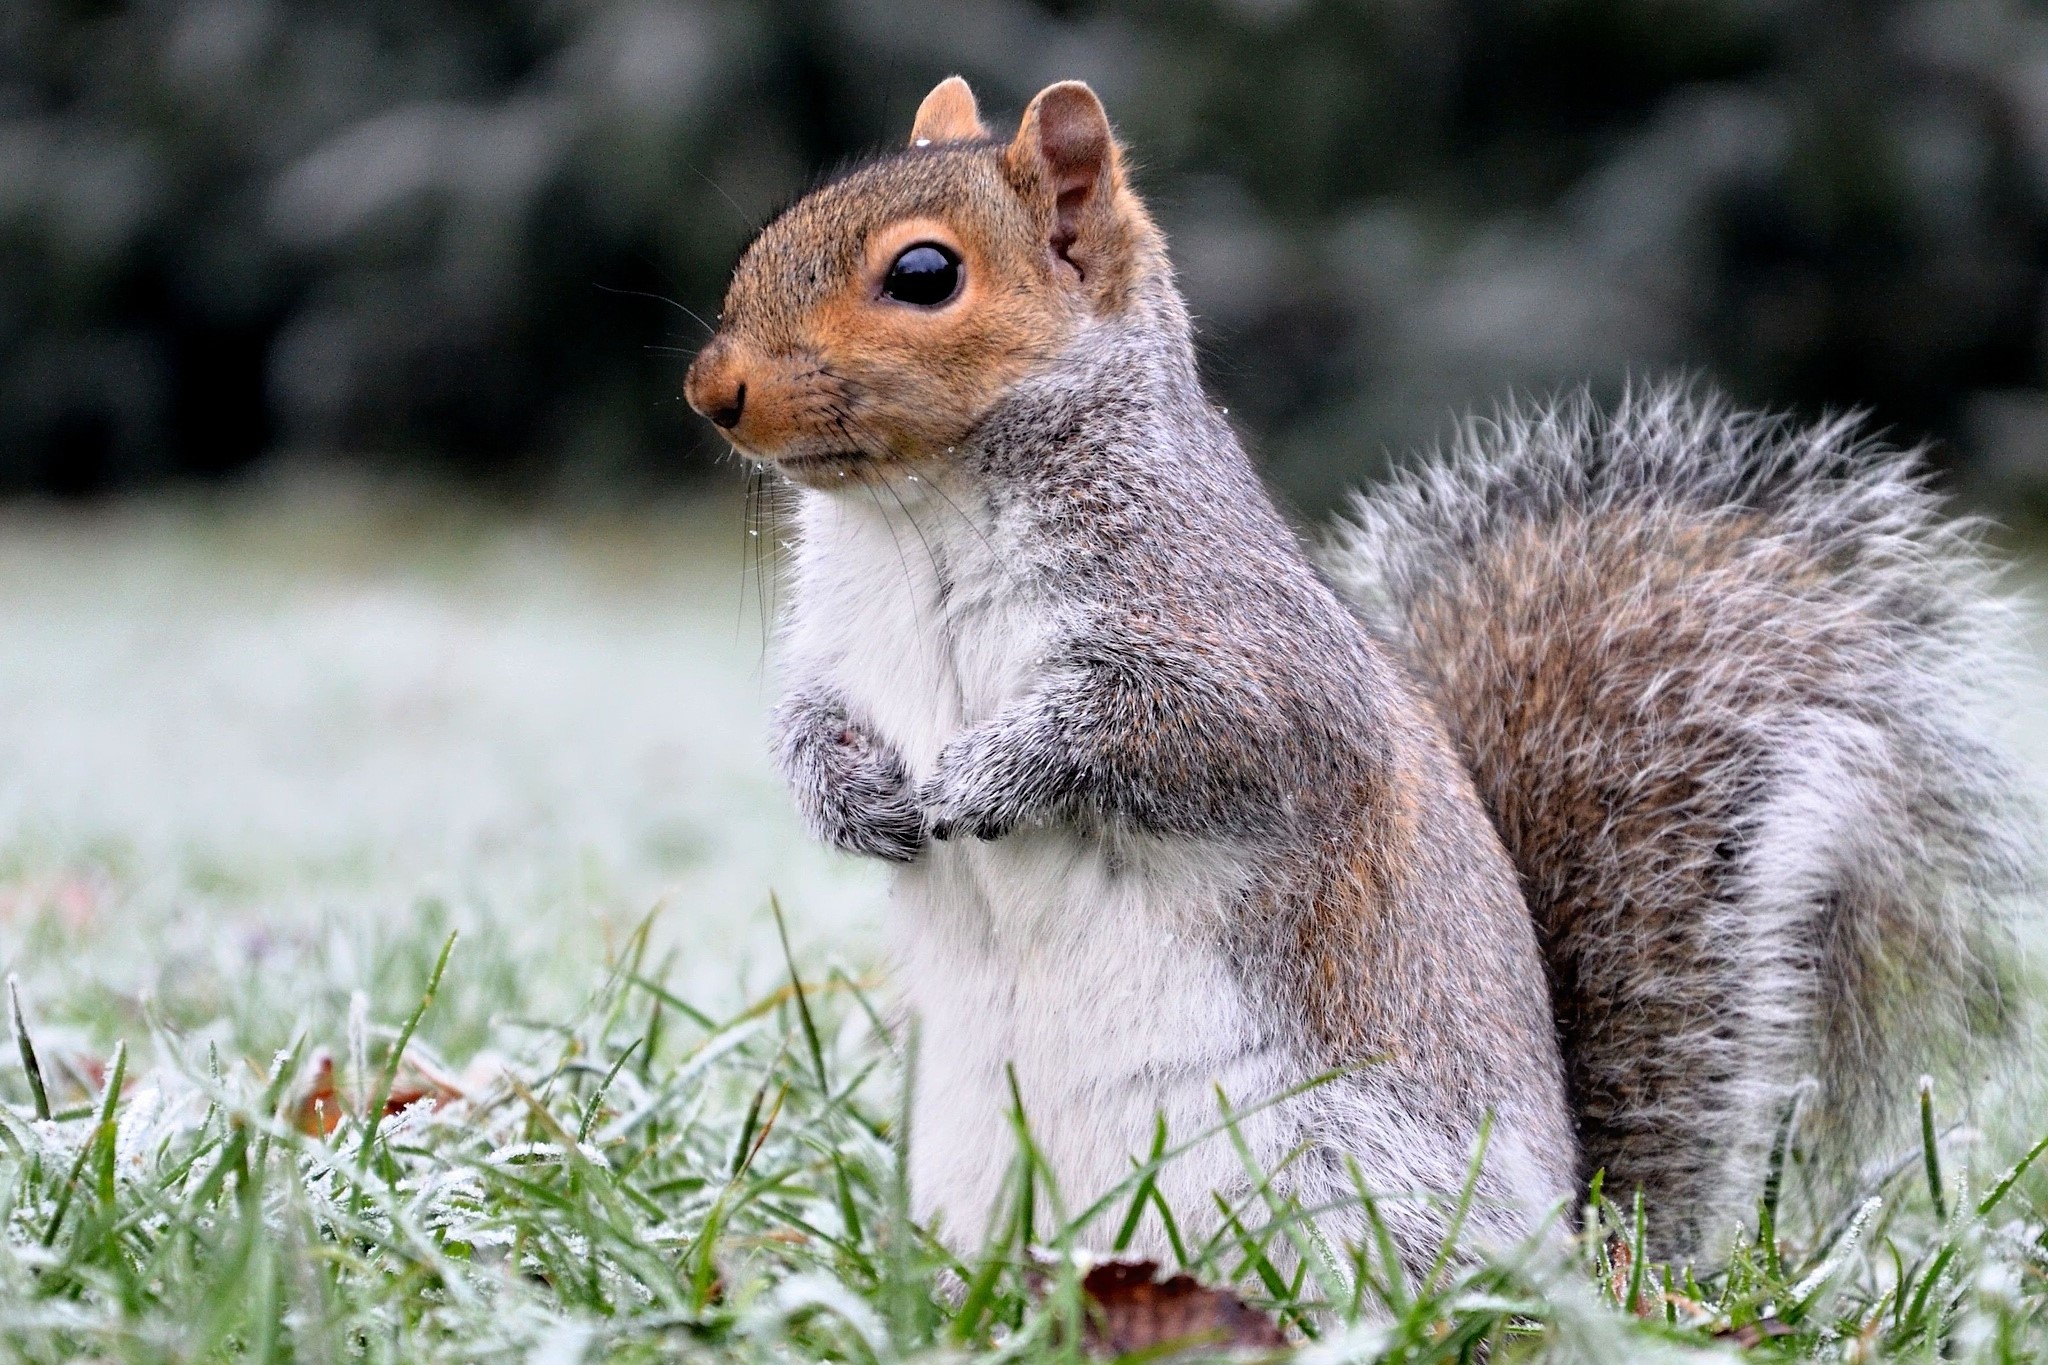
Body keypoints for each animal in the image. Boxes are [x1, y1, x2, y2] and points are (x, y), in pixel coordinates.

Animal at [684, 76, 2035, 1269]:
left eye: (924, 275)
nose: (711, 391)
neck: (920, 515)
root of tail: (1578, 1241)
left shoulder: (1240, 645)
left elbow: (1180, 733)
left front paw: (985, 773)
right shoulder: (838, 649)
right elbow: (805, 719)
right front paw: (848, 796)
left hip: (1326, 1163)